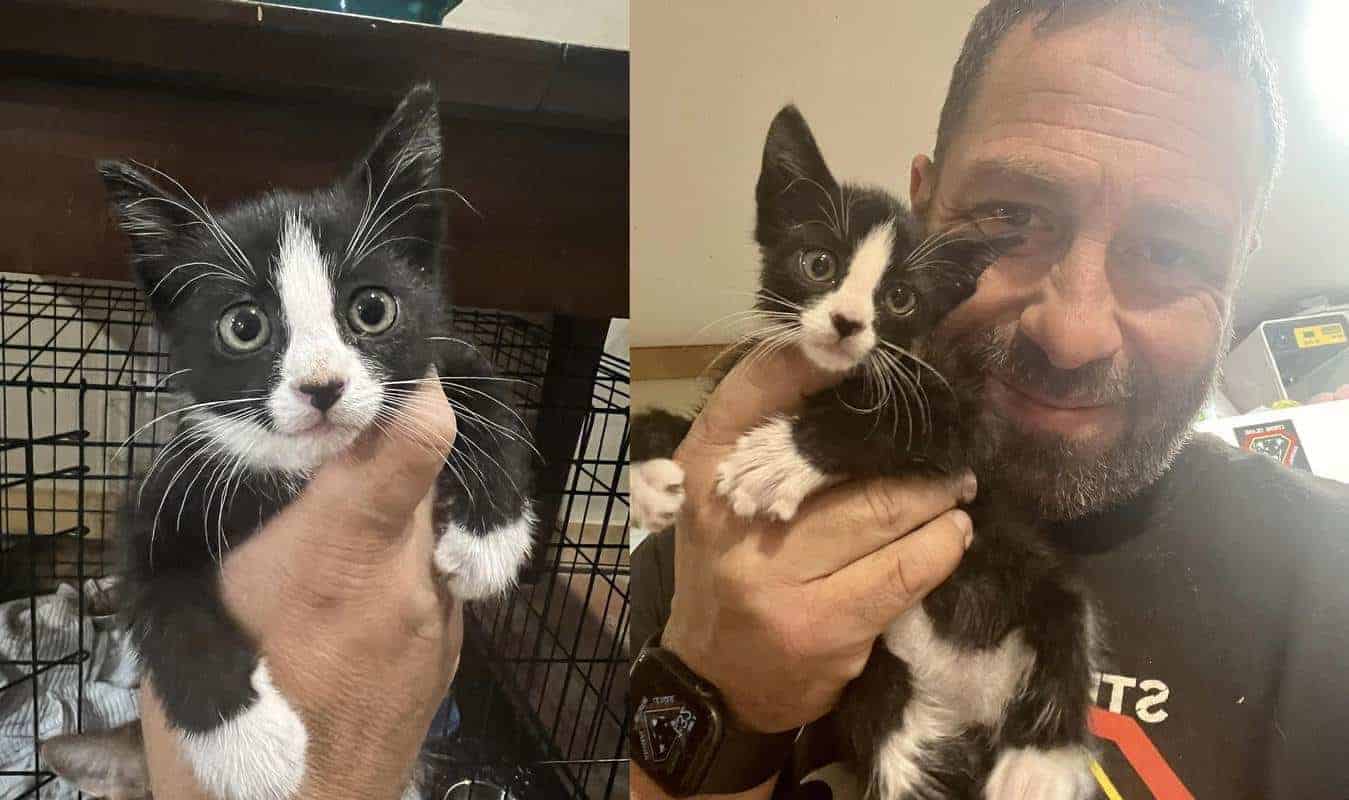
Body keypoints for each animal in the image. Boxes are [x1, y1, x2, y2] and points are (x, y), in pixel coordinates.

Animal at [96, 85, 531, 798]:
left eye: (373, 309)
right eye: (244, 326)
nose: (321, 386)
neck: (305, 467)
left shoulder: (438, 356)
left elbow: (487, 387)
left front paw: (489, 541)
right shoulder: (170, 487)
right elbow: (161, 598)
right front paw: (249, 749)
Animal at [628, 107, 1095, 798]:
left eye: (900, 298)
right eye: (818, 263)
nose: (847, 322)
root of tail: (971, 699)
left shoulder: (965, 415)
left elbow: (889, 421)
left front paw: (779, 458)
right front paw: (651, 472)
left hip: (1024, 564)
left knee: (1066, 612)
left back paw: (1040, 764)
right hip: (881, 679)